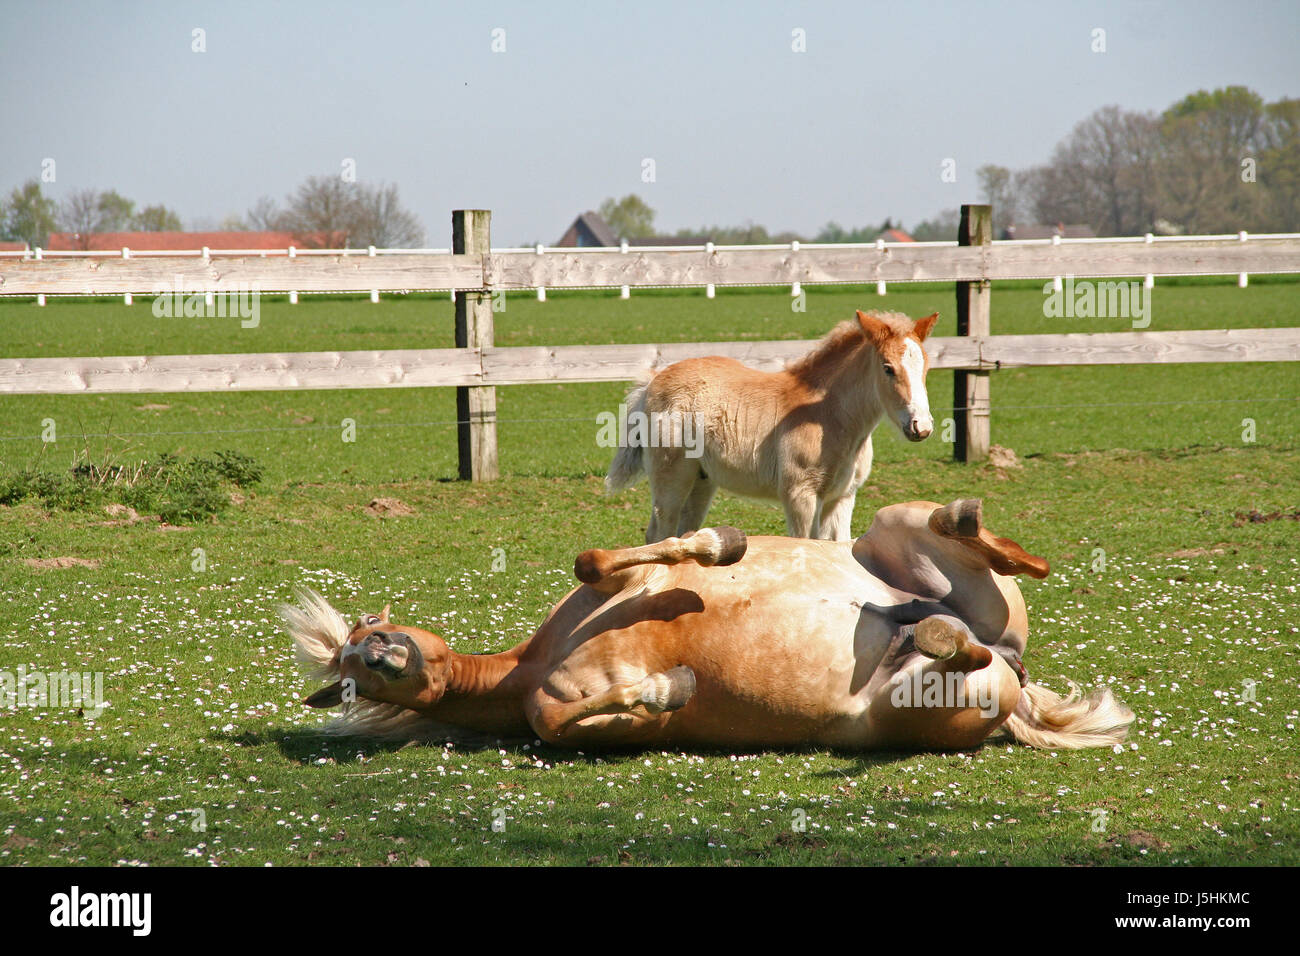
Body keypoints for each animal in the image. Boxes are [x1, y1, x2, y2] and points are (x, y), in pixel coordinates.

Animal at [283, 498, 1133, 753]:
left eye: (365, 633)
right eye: (348, 681)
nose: (378, 654)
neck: (528, 666)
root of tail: (1020, 681)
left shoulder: (624, 582)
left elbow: (601, 559)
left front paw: (722, 546)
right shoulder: (557, 717)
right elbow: (578, 721)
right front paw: (671, 689)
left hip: (892, 530)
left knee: (997, 553)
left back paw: (967, 529)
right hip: (921, 702)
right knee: (964, 653)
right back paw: (939, 636)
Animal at [605, 309, 939, 543]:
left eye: (926, 367)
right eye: (887, 368)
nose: (920, 427)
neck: (830, 415)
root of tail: (651, 383)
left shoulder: (843, 497)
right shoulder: (800, 494)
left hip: (702, 480)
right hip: (671, 478)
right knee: (659, 534)